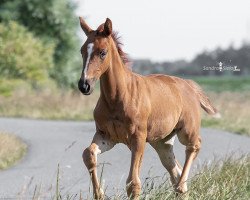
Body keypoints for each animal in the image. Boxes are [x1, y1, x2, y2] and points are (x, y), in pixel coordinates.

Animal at [77, 17, 217, 200]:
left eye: (102, 52)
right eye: (82, 51)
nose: (84, 85)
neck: (118, 97)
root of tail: (189, 85)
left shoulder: (138, 138)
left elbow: (133, 184)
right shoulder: (106, 136)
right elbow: (88, 154)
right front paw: (99, 193)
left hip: (186, 131)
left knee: (194, 146)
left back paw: (181, 186)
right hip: (162, 142)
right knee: (175, 169)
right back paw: (181, 187)